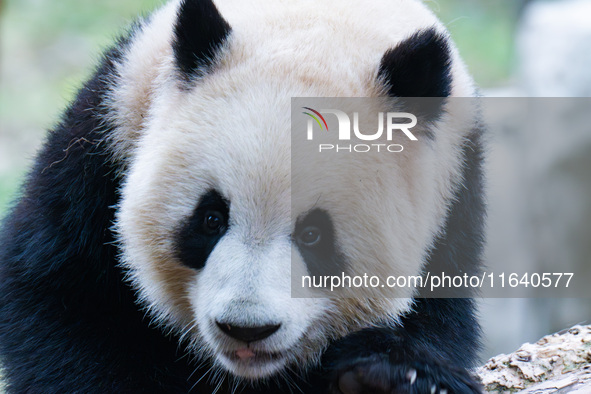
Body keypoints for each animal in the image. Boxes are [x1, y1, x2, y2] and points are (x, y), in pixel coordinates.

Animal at [0, 0, 486, 394]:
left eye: (313, 235)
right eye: (211, 218)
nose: (246, 328)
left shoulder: (454, 197)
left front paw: (389, 376)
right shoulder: (105, 135)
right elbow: (62, 299)